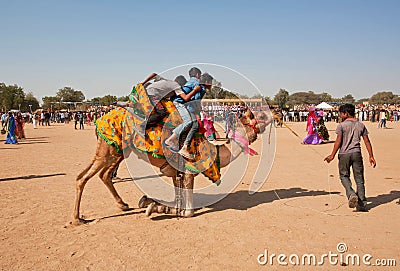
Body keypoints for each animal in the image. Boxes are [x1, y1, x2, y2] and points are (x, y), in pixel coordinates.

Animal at [71, 107, 270, 226]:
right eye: (260, 115)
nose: (274, 112)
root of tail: (100, 120)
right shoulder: (188, 172)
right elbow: (189, 212)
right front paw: (161, 207)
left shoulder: (176, 172)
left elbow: (176, 196)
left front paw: (154, 204)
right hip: (108, 150)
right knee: (82, 178)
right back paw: (77, 219)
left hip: (115, 151)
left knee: (103, 175)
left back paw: (123, 205)